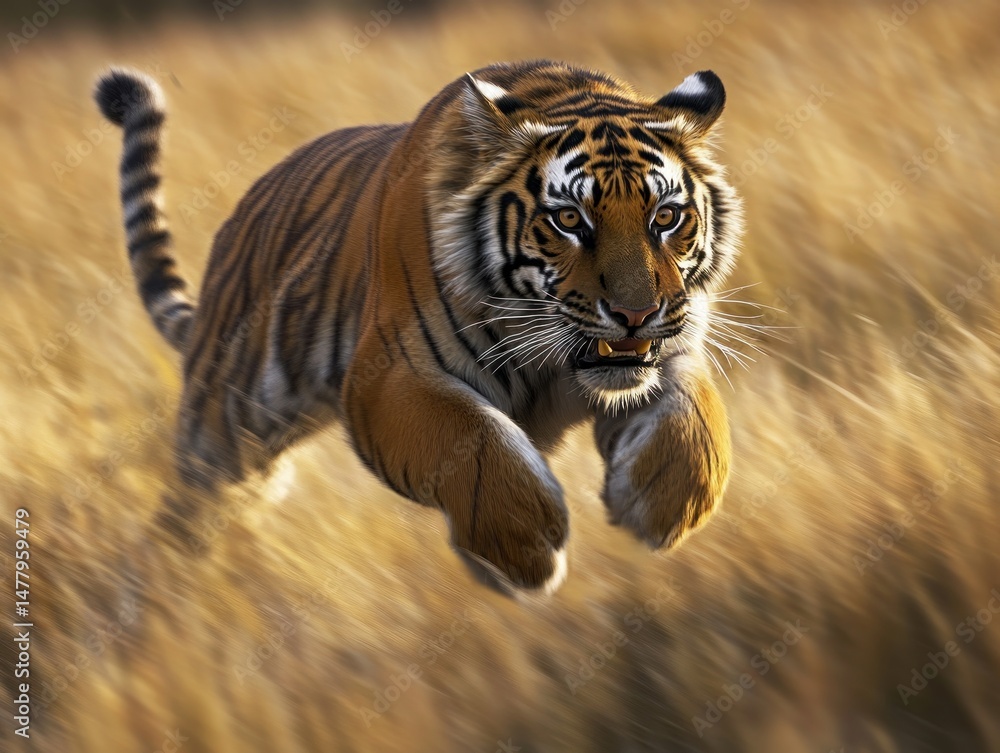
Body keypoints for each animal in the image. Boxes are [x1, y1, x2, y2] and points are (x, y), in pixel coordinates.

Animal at [94, 60, 742, 596]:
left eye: (667, 216)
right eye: (568, 219)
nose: (636, 313)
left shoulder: (669, 349)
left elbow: (696, 421)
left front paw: (662, 505)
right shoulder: (387, 375)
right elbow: (474, 440)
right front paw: (524, 548)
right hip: (225, 430)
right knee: (182, 519)